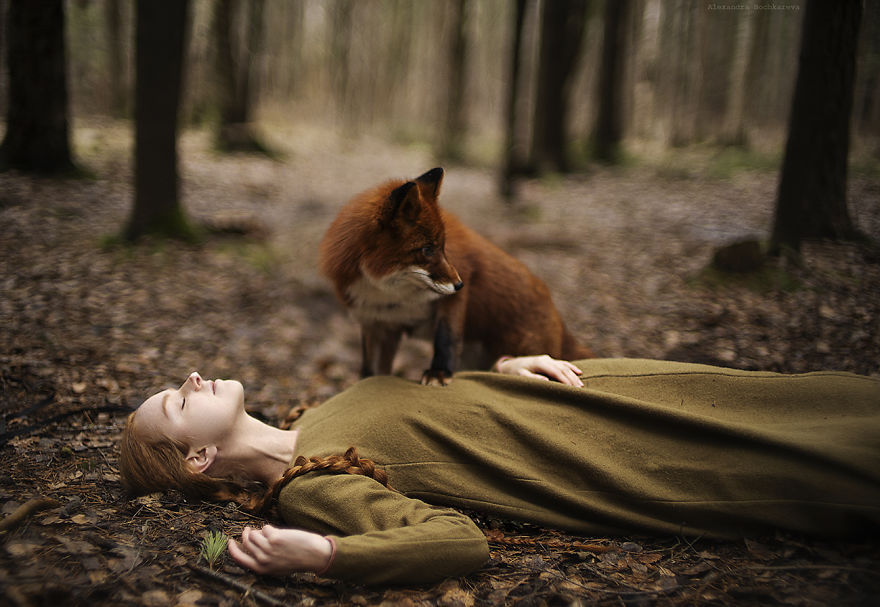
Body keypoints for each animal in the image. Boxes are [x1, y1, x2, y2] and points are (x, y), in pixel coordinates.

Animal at [318, 167, 594, 385]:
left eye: (443, 247)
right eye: (427, 249)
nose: (460, 283)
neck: (389, 294)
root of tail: (557, 314)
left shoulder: (451, 298)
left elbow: (446, 338)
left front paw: (438, 372)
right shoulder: (379, 324)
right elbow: (370, 371)